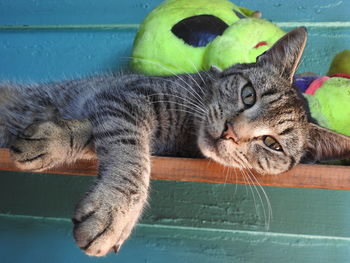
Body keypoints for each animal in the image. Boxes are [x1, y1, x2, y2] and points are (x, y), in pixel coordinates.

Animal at [0, 27, 350, 256]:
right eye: (248, 95)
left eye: (272, 143)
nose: (230, 132)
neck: (186, 131)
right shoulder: (122, 95)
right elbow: (130, 151)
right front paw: (115, 211)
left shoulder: (125, 112)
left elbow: (105, 136)